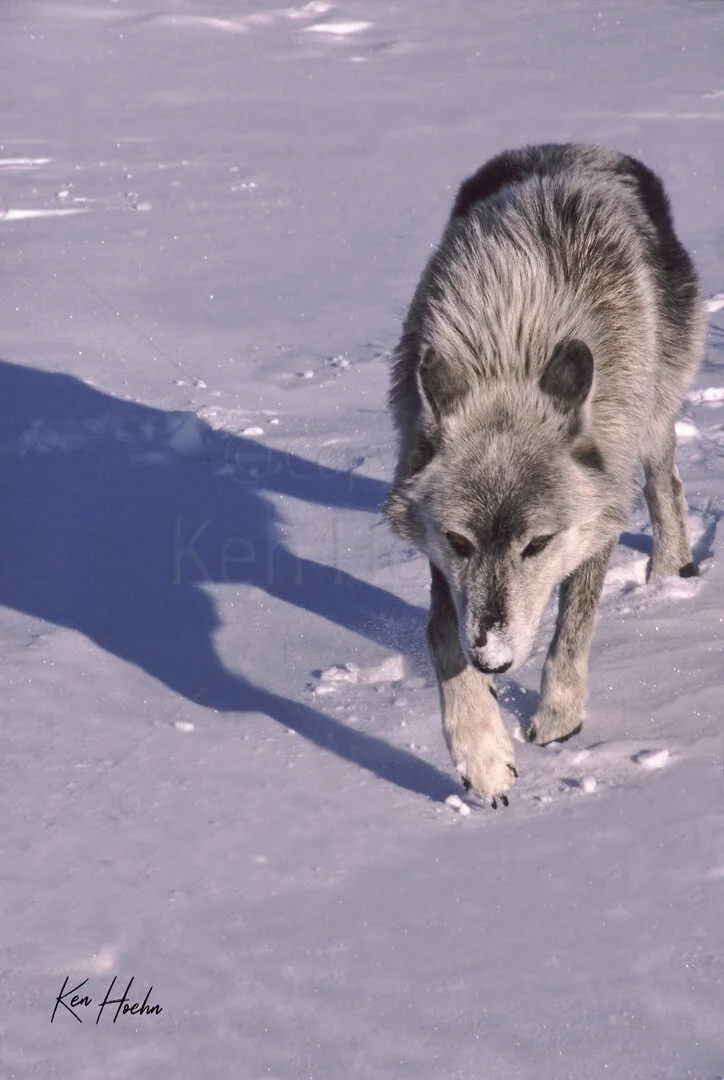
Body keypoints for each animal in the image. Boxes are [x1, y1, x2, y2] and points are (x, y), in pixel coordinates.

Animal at [385, 143, 705, 805]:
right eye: (460, 542)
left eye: (537, 545)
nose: (494, 660)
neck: (513, 338)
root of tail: (582, 147)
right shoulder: (439, 555)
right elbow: (440, 634)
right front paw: (481, 752)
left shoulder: (597, 518)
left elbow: (572, 629)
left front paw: (558, 720)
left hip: (654, 417)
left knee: (667, 484)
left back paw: (670, 574)